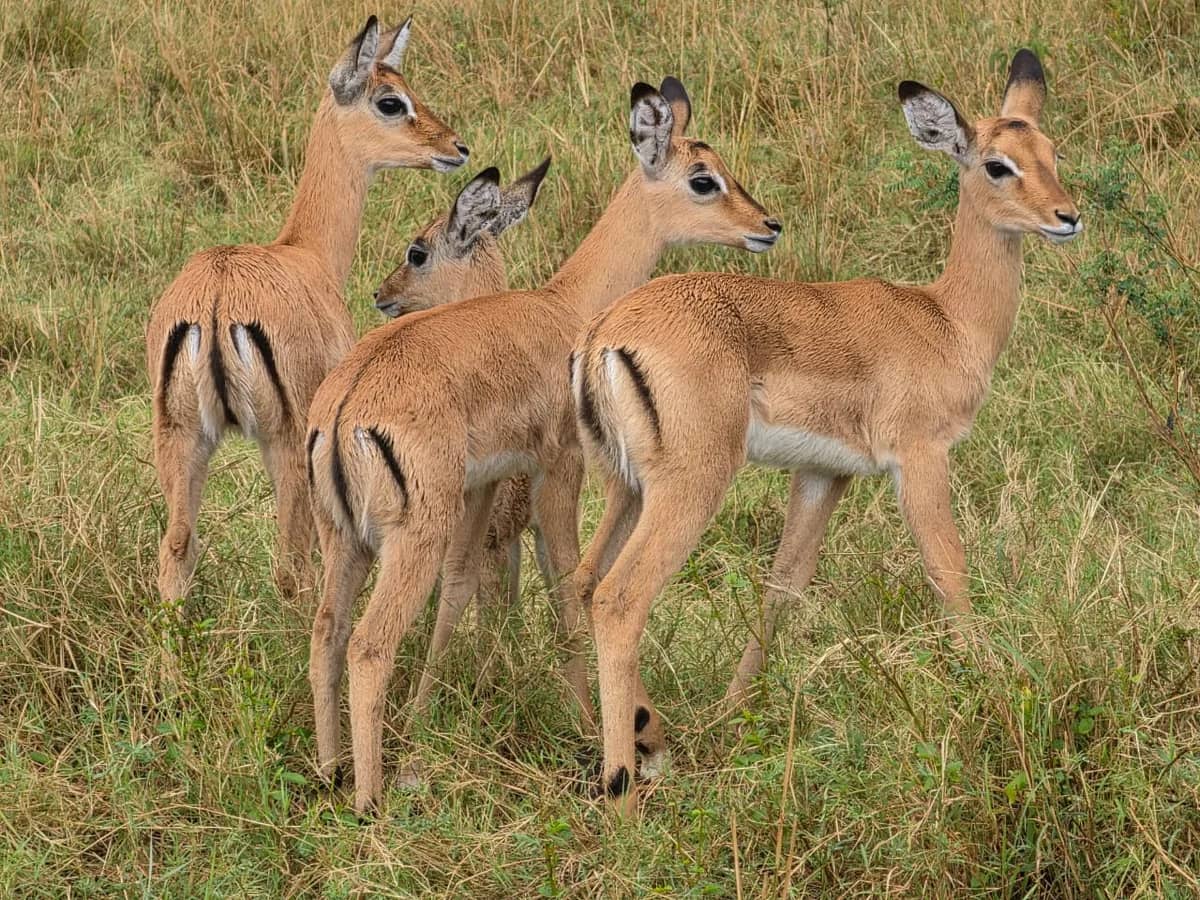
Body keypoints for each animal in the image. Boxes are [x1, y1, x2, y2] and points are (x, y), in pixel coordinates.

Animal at [146, 16, 467, 602]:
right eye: (391, 101)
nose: (457, 147)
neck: (306, 253)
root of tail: (217, 302)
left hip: (180, 435)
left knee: (177, 548)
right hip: (285, 442)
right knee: (291, 567)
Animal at [306, 77, 782, 812]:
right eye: (704, 179)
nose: (767, 226)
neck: (565, 307)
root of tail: (345, 407)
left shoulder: (485, 485)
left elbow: (468, 589)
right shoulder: (559, 472)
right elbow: (569, 593)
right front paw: (605, 731)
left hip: (347, 538)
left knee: (327, 632)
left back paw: (331, 770)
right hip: (411, 537)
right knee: (368, 645)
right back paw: (370, 799)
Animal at [574, 50, 1082, 813]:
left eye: (1051, 152)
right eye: (998, 164)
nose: (1067, 216)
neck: (945, 322)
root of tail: (607, 332)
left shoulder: (823, 473)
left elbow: (782, 588)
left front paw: (733, 713)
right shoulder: (920, 456)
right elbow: (949, 571)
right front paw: (994, 683)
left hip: (625, 487)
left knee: (581, 582)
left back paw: (648, 739)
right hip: (691, 484)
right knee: (618, 598)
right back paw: (625, 790)